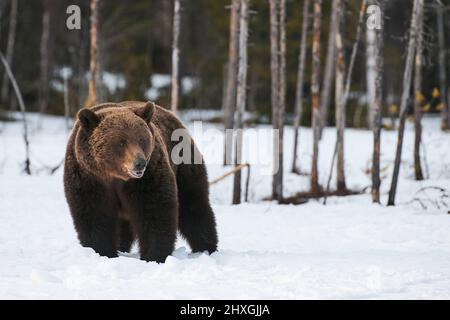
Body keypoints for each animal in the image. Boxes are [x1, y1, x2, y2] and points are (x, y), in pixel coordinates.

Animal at [63, 100, 218, 262]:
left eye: (141, 139)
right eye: (121, 142)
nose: (140, 163)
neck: (116, 178)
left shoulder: (148, 178)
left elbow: (155, 211)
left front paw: (154, 255)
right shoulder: (89, 179)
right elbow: (94, 216)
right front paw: (102, 251)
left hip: (183, 163)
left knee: (194, 206)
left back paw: (206, 248)